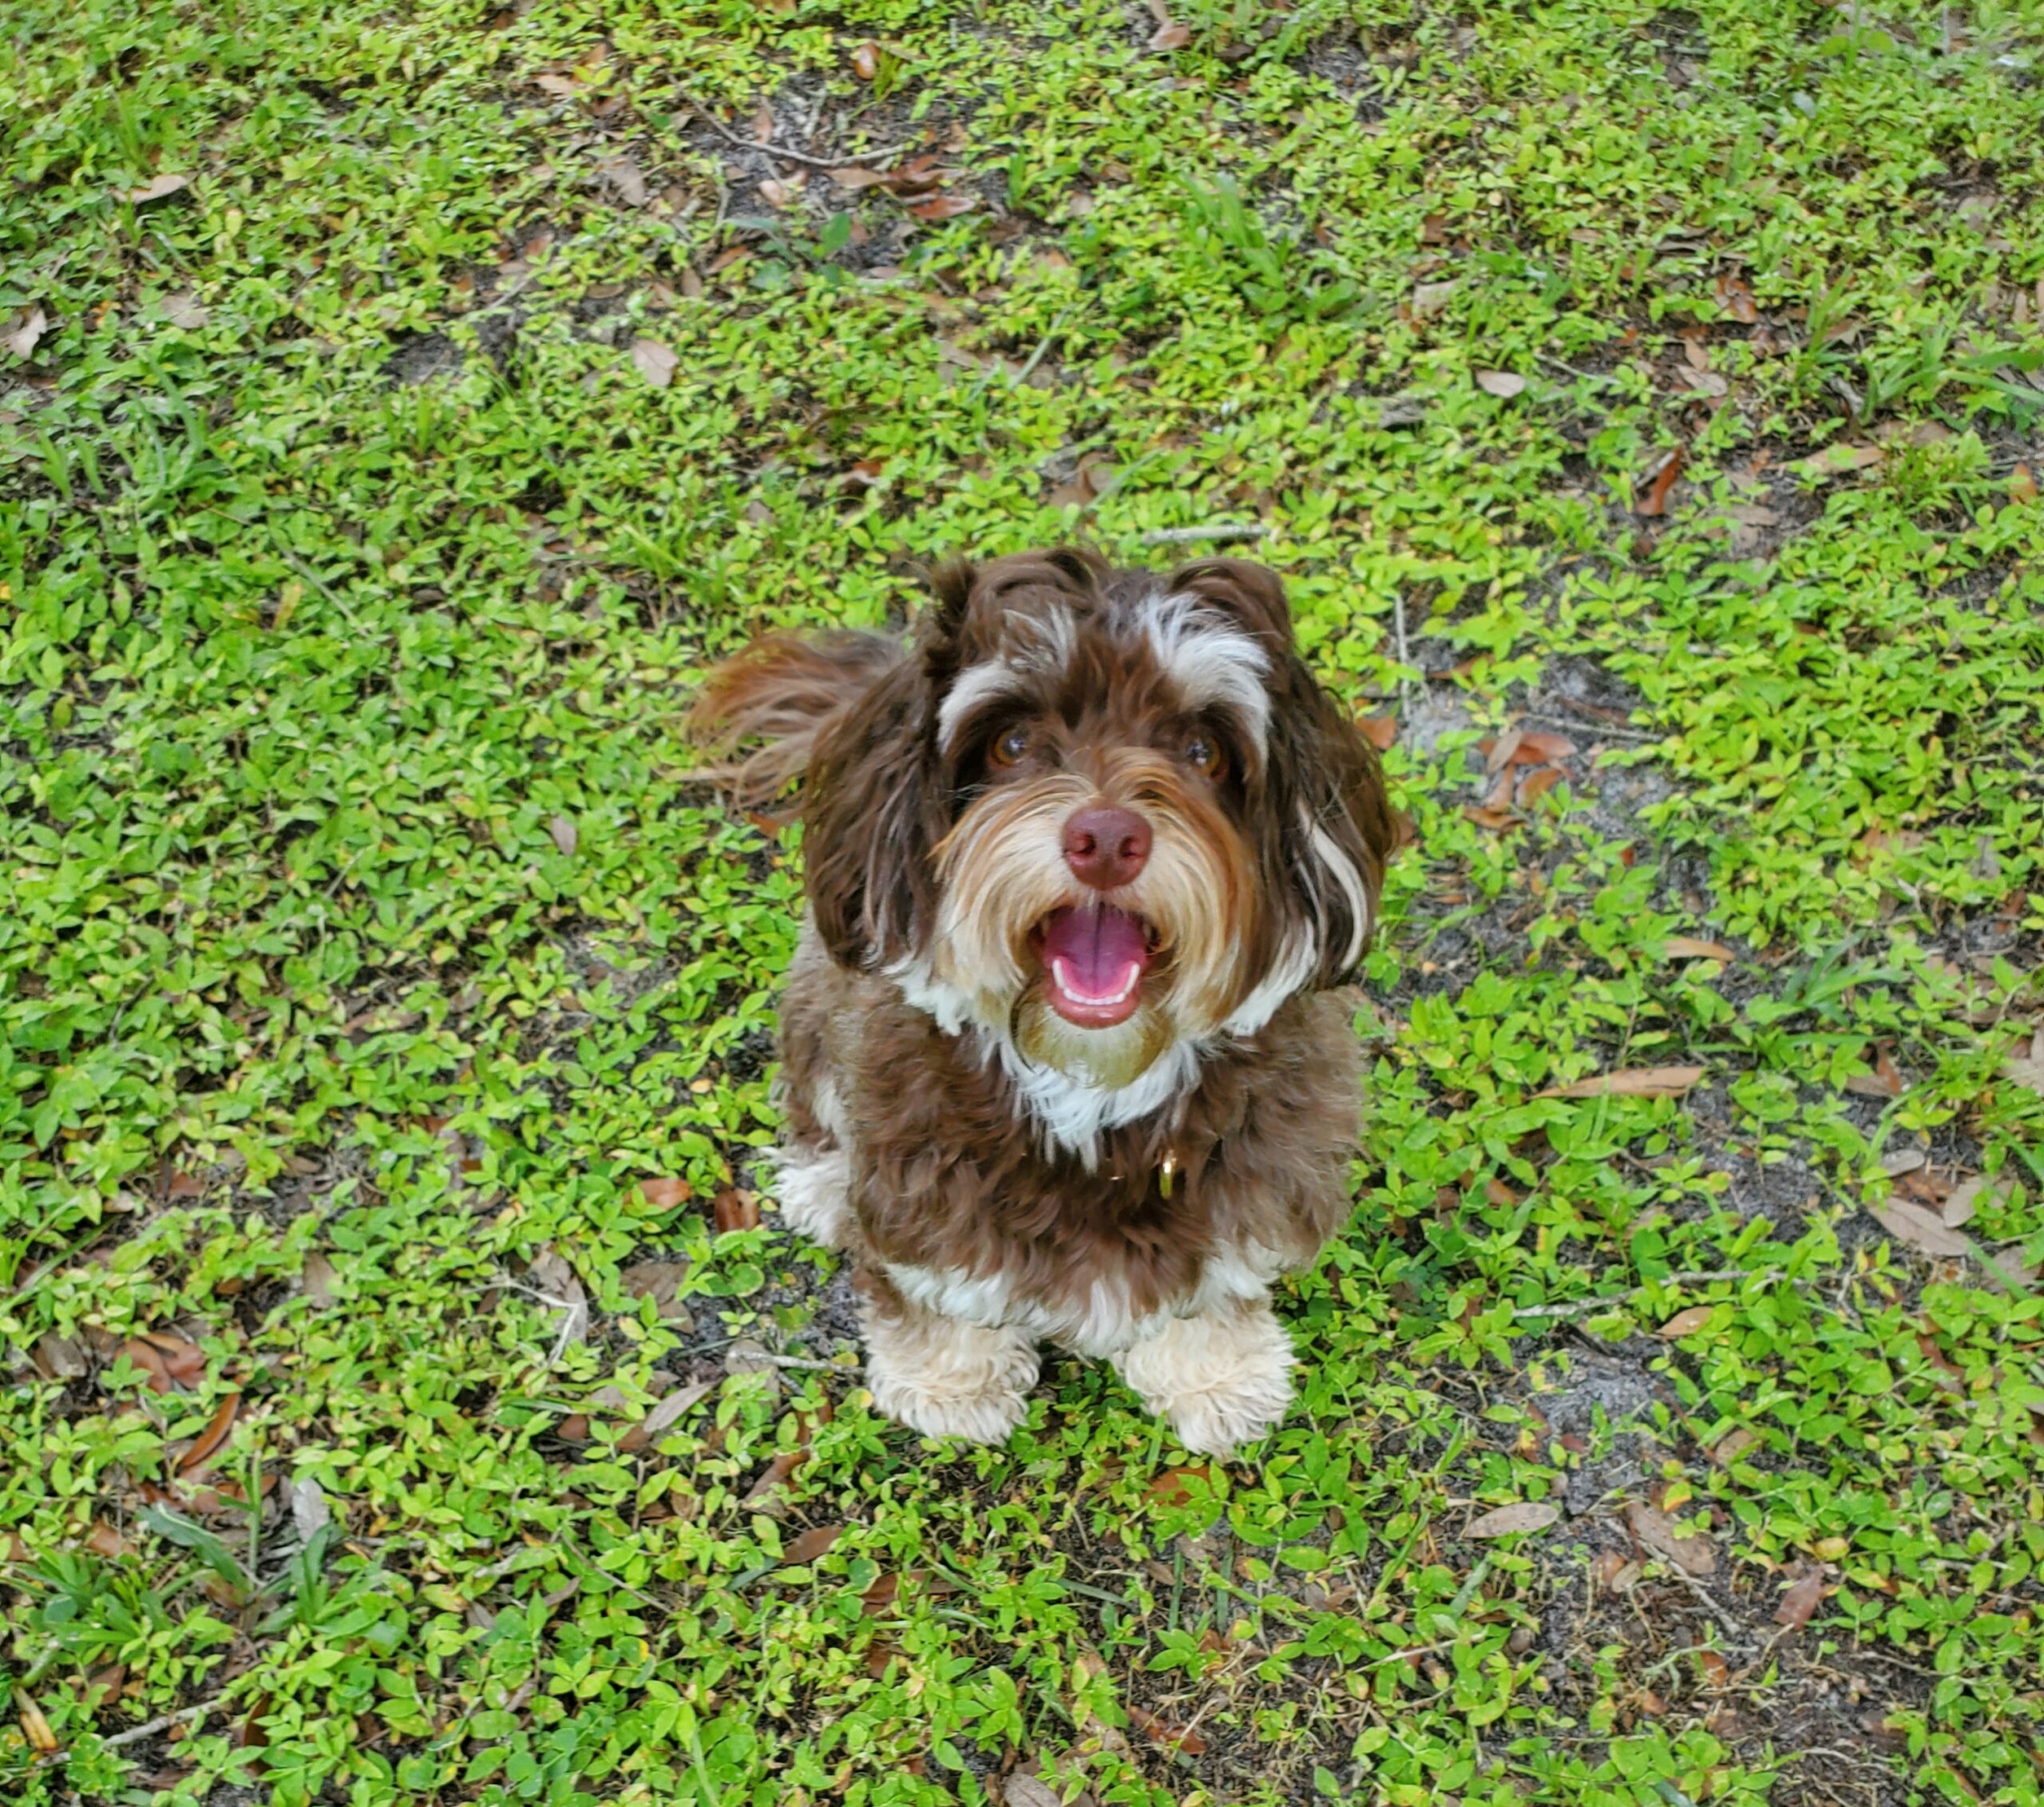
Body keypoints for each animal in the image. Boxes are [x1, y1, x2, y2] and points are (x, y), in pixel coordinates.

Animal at [691, 552, 1406, 1455]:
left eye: (1202, 749)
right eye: (1013, 742)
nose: (1105, 839)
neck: (1090, 1086)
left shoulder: (1263, 1167)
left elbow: (1216, 1285)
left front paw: (1216, 1374)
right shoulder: (920, 1178)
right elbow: (931, 1285)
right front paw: (949, 1379)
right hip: (819, 1002)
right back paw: (823, 1185)